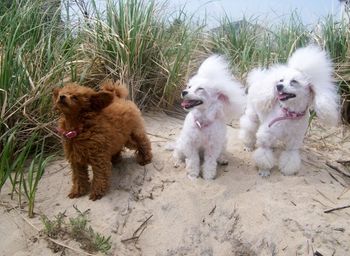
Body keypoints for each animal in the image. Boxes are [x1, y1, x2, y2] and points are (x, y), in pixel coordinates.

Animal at [239, 45, 340, 176]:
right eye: (281, 80)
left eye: (294, 82)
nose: (278, 86)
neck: (290, 113)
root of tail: (258, 79)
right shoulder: (267, 134)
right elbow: (264, 153)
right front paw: (264, 170)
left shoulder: (294, 140)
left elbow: (290, 156)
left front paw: (287, 171)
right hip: (253, 115)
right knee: (249, 128)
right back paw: (248, 145)